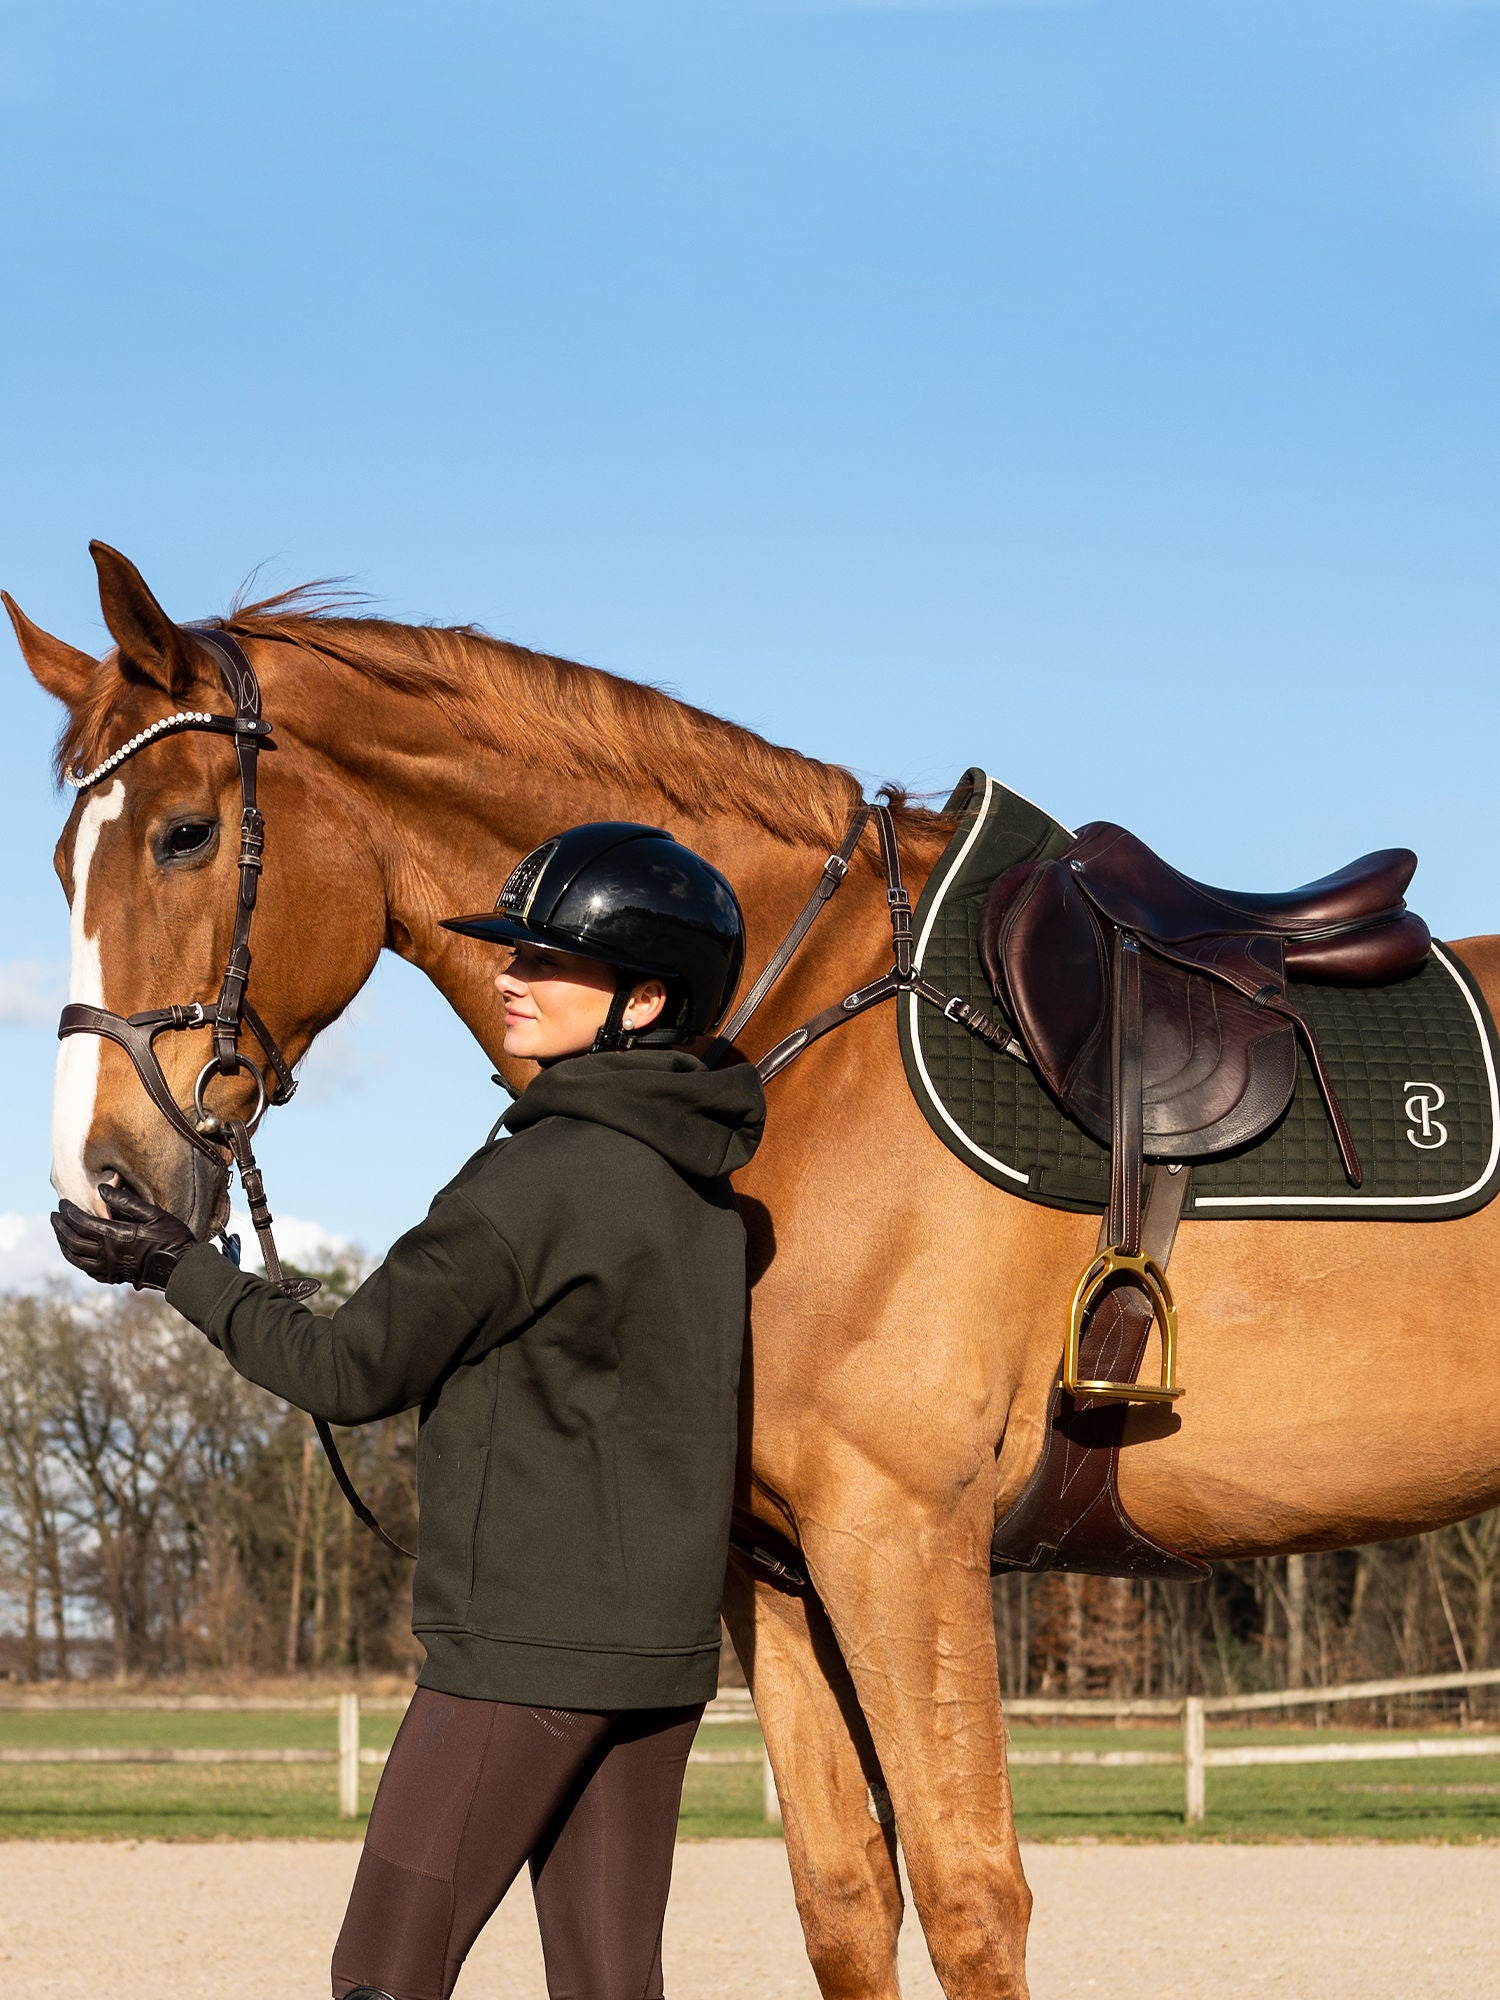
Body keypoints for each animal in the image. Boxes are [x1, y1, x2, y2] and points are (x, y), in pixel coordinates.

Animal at [11, 536, 1500, 2000]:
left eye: (186, 832)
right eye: (63, 865)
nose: (101, 1189)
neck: (800, 1045)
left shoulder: (902, 1538)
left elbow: (970, 1899)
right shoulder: (779, 1571)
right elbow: (845, 1897)